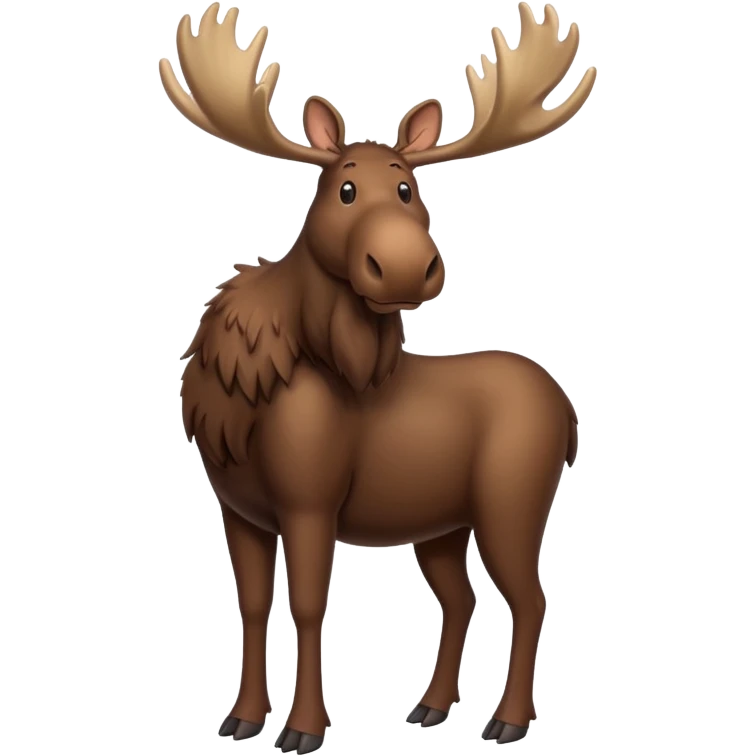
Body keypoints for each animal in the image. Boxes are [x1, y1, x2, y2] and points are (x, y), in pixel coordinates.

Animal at [162, 2, 593, 752]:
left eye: (407, 189)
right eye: (343, 188)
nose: (405, 267)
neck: (248, 392)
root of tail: (570, 415)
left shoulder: (311, 501)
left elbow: (309, 605)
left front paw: (303, 729)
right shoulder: (236, 506)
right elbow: (253, 603)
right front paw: (241, 716)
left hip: (512, 504)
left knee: (531, 598)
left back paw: (507, 720)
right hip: (442, 525)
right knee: (463, 598)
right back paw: (431, 706)